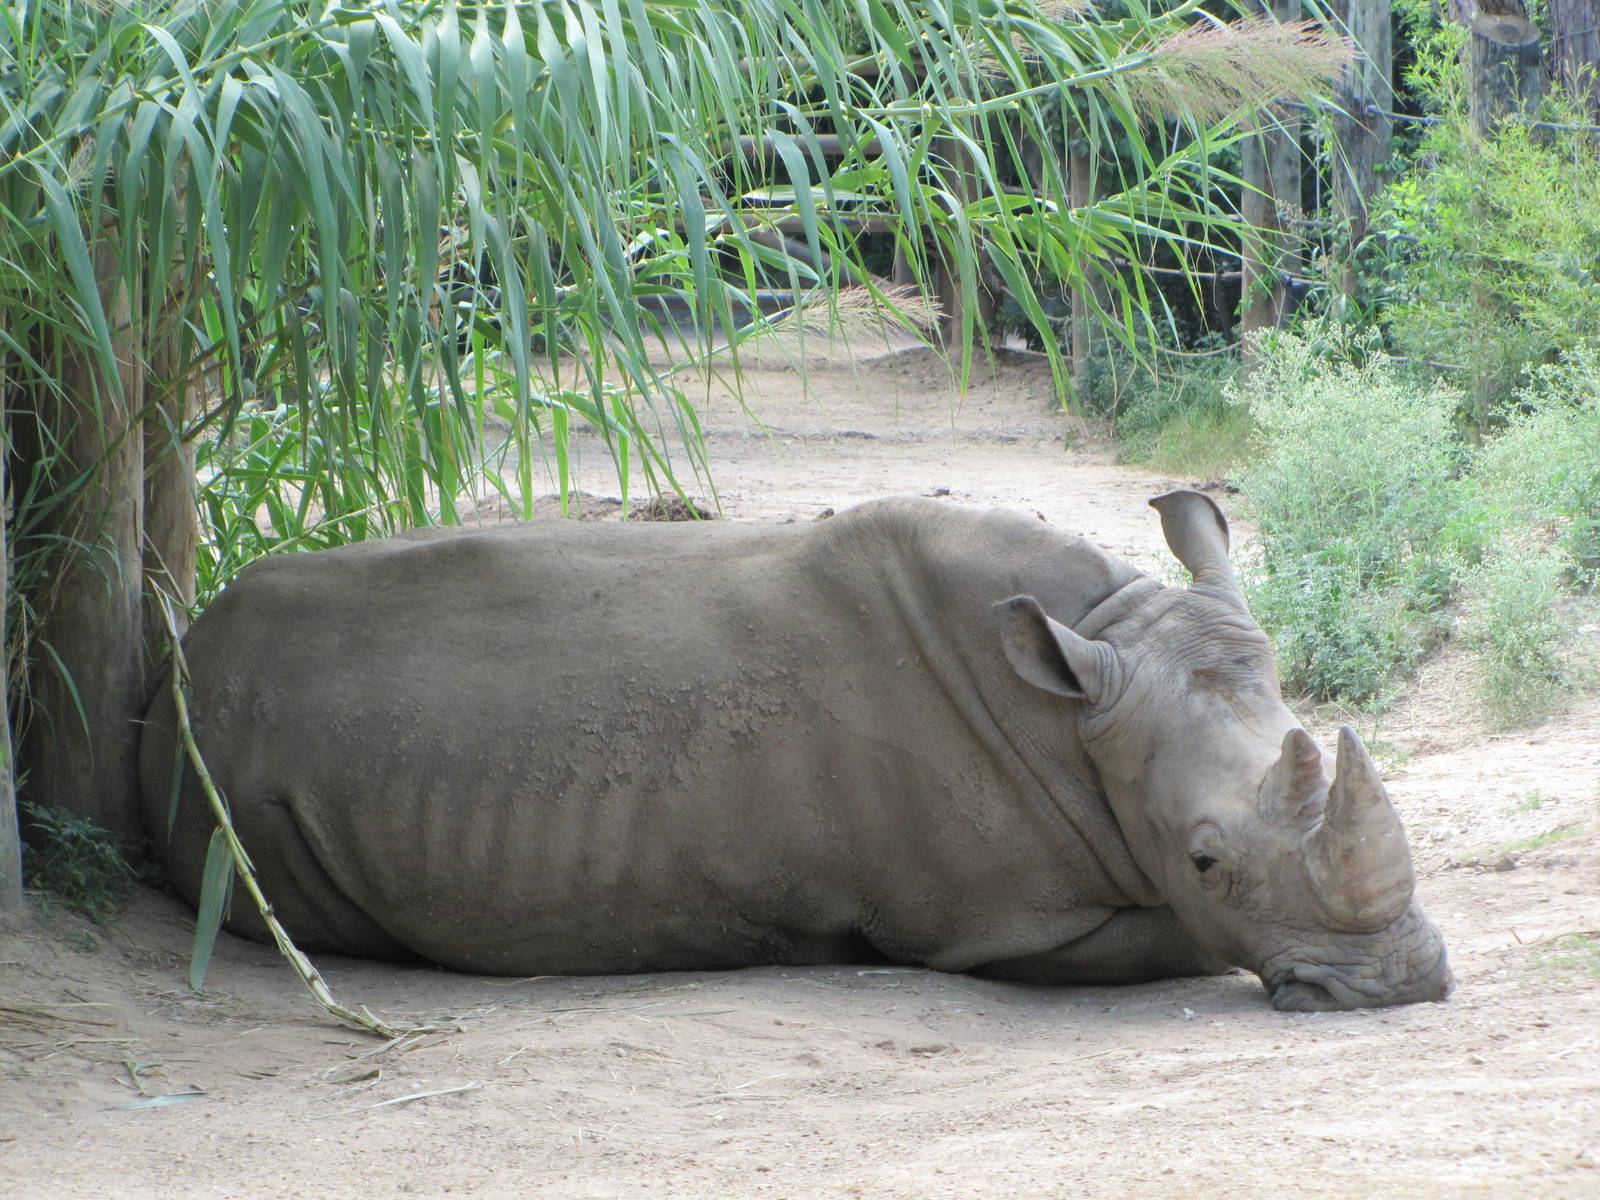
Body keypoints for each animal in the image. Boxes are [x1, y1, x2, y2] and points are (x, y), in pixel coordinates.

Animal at [140, 491, 1452, 1011]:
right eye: (1203, 861)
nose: (1400, 983)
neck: (1084, 694)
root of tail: (174, 663)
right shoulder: (1002, 926)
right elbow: (1185, 941)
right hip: (225, 776)